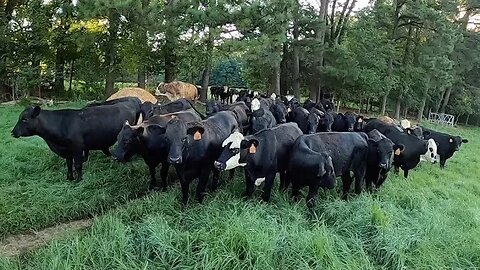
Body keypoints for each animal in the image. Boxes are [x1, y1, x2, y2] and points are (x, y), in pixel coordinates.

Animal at [11, 103, 139, 181]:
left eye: (24, 119)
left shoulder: (78, 147)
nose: (12, 132)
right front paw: (69, 178)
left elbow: (77, 165)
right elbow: (69, 164)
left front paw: (79, 180)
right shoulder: (67, 151)